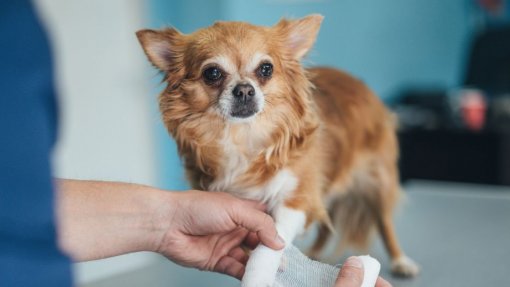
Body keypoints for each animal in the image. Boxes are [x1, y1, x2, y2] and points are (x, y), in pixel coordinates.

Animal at [136, 14, 418, 286]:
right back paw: (315, 253)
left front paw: (266, 265)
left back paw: (400, 261)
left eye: (266, 69)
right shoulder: (233, 200)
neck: (243, 136)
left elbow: (274, 238)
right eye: (212, 73)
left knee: (384, 223)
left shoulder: (297, 197)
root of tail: (356, 81)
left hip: (377, 182)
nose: (244, 89)